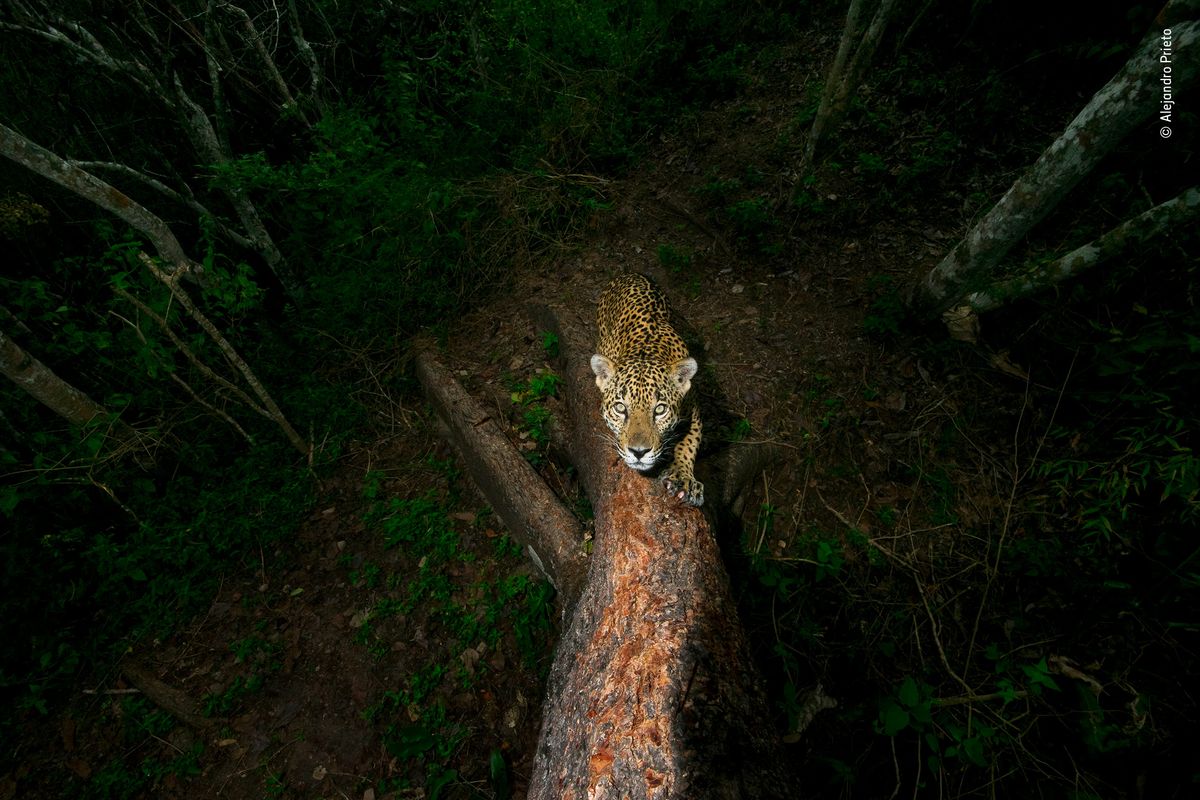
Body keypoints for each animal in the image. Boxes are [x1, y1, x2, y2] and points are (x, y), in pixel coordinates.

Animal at [590, 273, 704, 507]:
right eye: (620, 408)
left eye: (660, 410)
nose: (639, 452)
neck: (647, 350)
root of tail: (630, 274)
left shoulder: (694, 408)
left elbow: (689, 443)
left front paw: (683, 477)